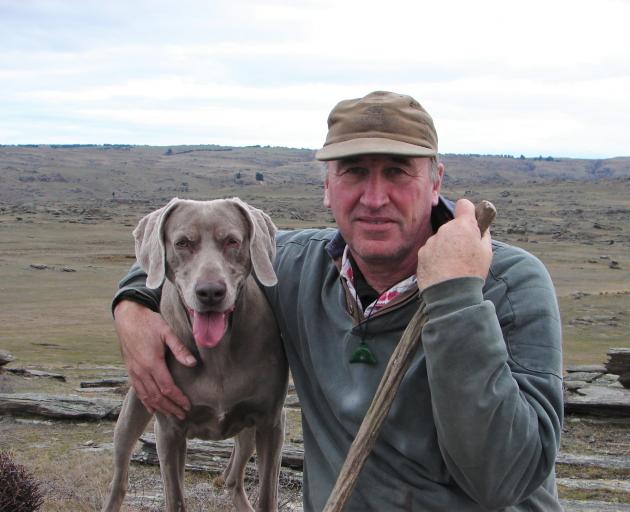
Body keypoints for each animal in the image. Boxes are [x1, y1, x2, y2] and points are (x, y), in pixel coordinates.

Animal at [102, 197, 290, 512]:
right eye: (182, 243)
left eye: (232, 241)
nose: (210, 292)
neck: (217, 355)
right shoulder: (169, 430)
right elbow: (175, 498)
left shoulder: (270, 422)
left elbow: (267, 496)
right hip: (134, 410)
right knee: (120, 478)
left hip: (247, 431)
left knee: (233, 479)